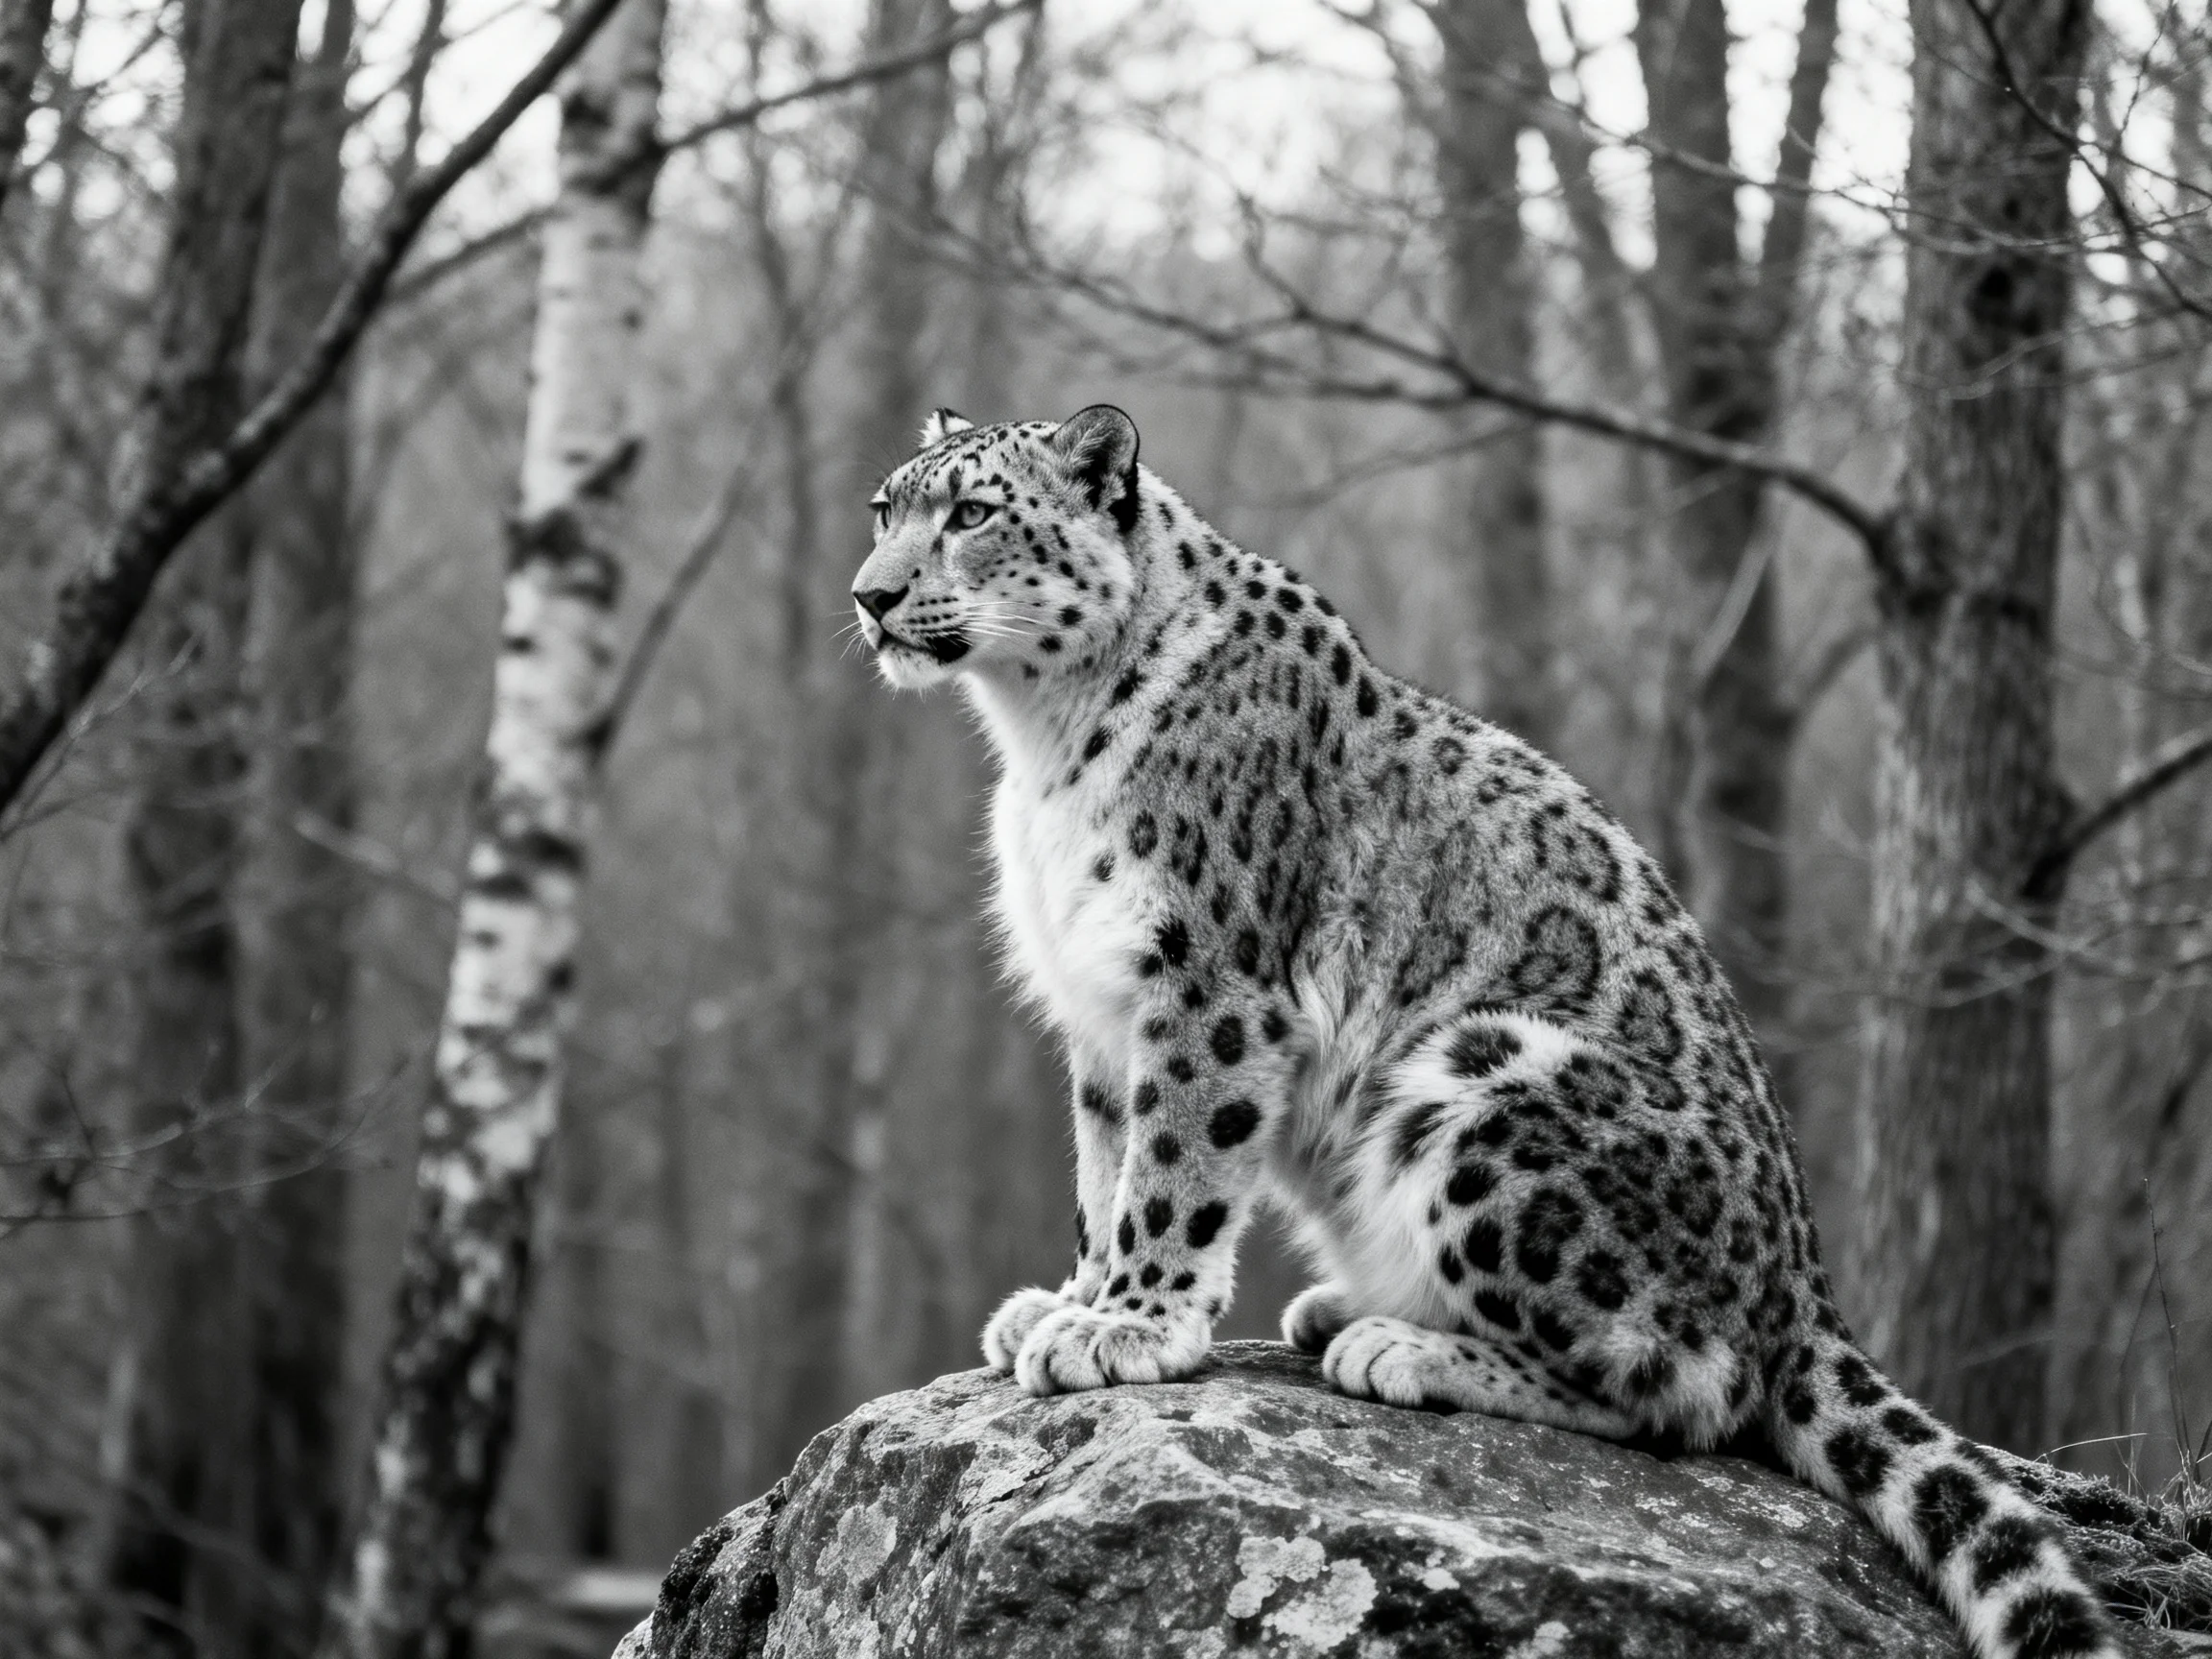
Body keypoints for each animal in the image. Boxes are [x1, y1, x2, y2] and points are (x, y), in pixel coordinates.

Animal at [849, 403, 2117, 1659]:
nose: (869, 594)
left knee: (1679, 1392)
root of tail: (1805, 1290)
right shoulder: (1103, 1012)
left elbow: (1174, 1169)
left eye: (972, 513)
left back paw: (1399, 1347)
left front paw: (1128, 1326)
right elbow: (1105, 1165)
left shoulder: (1208, 982)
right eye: (884, 508)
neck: (1041, 745)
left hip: (1487, 1081)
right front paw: (1071, 1300)